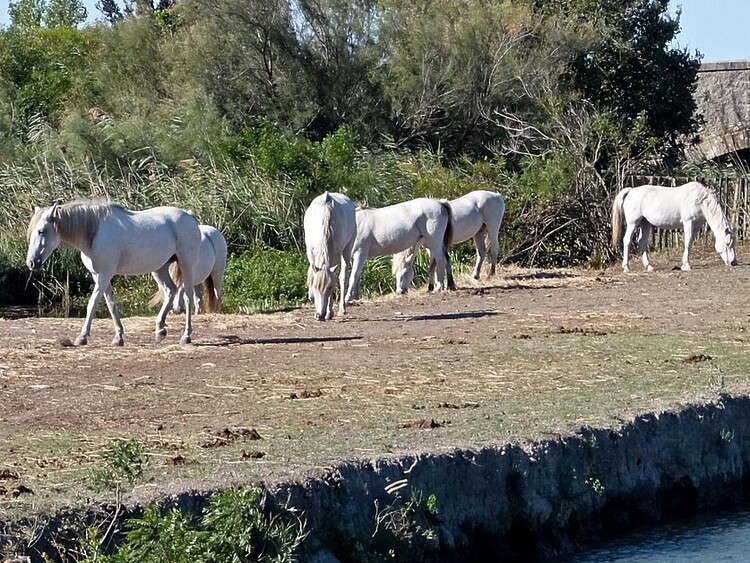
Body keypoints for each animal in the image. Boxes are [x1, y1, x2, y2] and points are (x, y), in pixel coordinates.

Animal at [28, 200, 201, 346]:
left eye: (41, 231)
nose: (31, 263)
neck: (95, 233)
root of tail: (189, 216)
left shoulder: (104, 275)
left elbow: (92, 303)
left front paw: (82, 337)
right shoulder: (98, 275)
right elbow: (111, 304)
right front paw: (118, 337)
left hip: (187, 265)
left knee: (187, 298)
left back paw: (186, 336)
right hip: (159, 269)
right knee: (170, 292)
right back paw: (160, 330)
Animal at [304, 192, 356, 320]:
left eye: (330, 288)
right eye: (315, 287)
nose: (320, 315)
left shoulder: (334, 256)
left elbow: (333, 277)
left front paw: (329, 312)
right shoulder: (310, 252)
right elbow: (313, 272)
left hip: (347, 249)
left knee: (342, 277)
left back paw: (342, 309)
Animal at [612, 182, 740, 272]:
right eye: (728, 243)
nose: (733, 262)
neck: (698, 200)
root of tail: (631, 191)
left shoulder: (696, 226)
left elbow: (690, 243)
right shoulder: (688, 222)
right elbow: (687, 243)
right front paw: (686, 266)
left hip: (645, 223)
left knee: (642, 242)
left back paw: (649, 267)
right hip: (633, 223)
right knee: (627, 240)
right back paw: (626, 267)